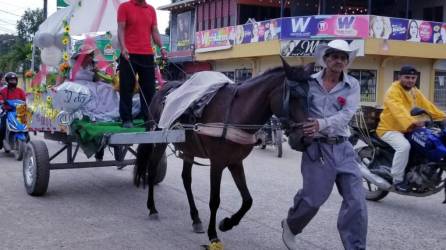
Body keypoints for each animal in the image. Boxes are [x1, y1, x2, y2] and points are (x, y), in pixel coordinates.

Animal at [134, 57, 312, 247]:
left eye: (310, 95)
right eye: (293, 96)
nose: (305, 139)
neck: (237, 112)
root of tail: (162, 90)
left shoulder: (235, 162)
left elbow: (248, 200)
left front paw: (227, 223)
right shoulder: (217, 163)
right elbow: (215, 200)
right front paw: (213, 234)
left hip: (188, 149)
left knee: (186, 180)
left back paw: (195, 218)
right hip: (160, 139)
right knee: (152, 170)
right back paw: (152, 208)